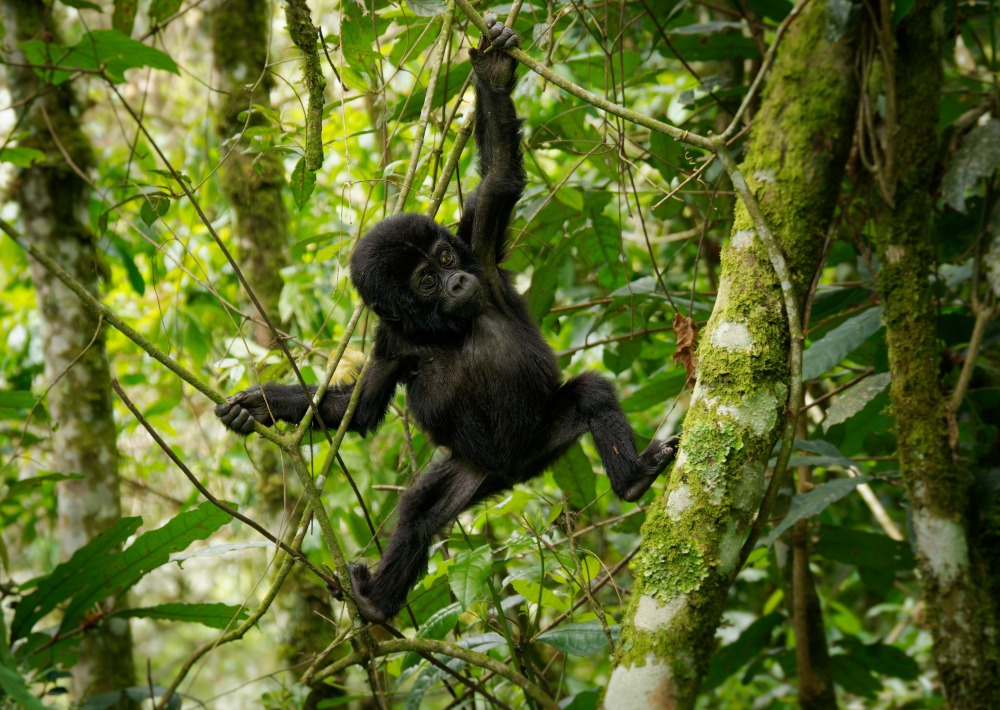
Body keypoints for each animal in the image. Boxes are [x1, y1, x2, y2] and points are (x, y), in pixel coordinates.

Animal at [214, 20, 676, 624]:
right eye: (426, 281)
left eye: (445, 258)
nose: (455, 281)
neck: (444, 328)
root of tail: (514, 470)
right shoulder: (392, 341)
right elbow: (357, 409)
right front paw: (258, 407)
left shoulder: (481, 254)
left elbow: (500, 181)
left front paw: (494, 73)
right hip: (473, 469)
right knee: (418, 509)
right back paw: (377, 602)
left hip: (545, 434)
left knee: (591, 394)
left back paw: (633, 479)